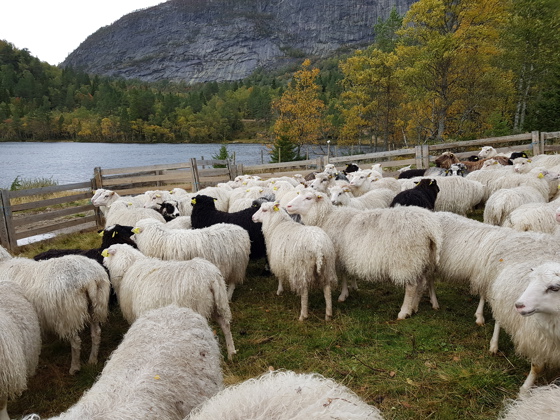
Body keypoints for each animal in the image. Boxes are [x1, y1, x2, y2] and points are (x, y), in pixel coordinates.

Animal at [103, 244, 236, 360]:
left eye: (109, 252)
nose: (103, 259)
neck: (129, 267)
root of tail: (211, 279)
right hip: (220, 304)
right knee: (225, 326)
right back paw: (231, 353)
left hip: (200, 308)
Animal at [288, 190, 442, 318]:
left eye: (308, 198)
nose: (288, 206)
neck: (327, 217)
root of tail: (429, 227)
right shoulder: (344, 255)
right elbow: (345, 274)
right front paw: (348, 291)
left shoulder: (337, 255)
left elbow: (343, 275)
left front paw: (343, 294)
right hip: (423, 258)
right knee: (421, 284)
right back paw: (414, 307)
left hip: (407, 260)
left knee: (411, 287)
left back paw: (404, 312)